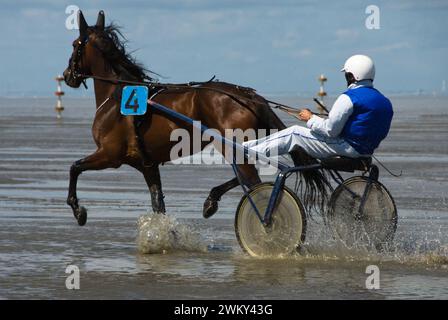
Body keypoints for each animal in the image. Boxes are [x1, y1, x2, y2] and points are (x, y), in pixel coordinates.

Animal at [62, 10, 328, 225]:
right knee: (249, 175)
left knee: (253, 182)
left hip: (231, 145)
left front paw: (78, 211)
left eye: (75, 44)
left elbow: (74, 168)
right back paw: (212, 200)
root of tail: (250, 96)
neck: (117, 97)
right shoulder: (147, 165)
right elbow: (158, 204)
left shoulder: (110, 154)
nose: (67, 75)